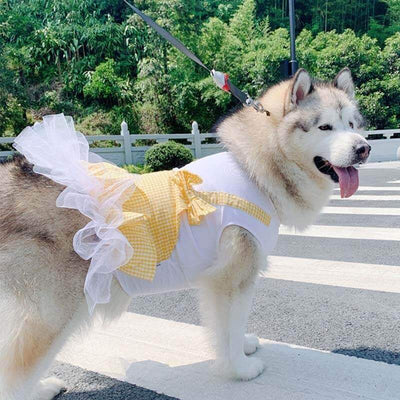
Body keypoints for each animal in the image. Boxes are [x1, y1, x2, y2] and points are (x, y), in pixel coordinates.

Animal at [0, 67, 368, 398]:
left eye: (352, 125)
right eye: (325, 127)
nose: (364, 148)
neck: (253, 171)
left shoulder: (235, 280)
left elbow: (235, 326)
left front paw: (244, 346)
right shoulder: (230, 280)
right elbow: (228, 331)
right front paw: (240, 369)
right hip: (51, 313)